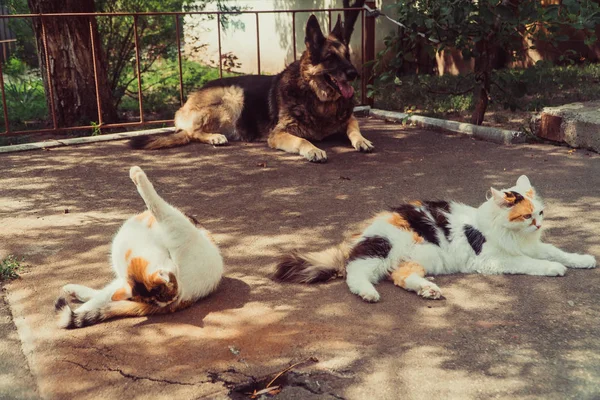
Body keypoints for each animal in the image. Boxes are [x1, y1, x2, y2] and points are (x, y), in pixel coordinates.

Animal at [53, 166, 223, 328]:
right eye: (172, 290)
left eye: (172, 294)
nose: (175, 296)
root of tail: (189, 296)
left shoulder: (176, 227)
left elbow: (156, 205)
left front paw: (137, 174)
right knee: (106, 294)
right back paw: (74, 291)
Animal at [274, 177, 596, 302]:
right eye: (527, 216)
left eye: (540, 212)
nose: (540, 223)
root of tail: (361, 233)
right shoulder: (494, 259)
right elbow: (530, 263)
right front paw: (553, 269)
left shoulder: (536, 245)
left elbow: (558, 251)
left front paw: (583, 259)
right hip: (384, 248)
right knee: (355, 271)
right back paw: (368, 293)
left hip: (419, 260)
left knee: (400, 277)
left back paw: (428, 290)